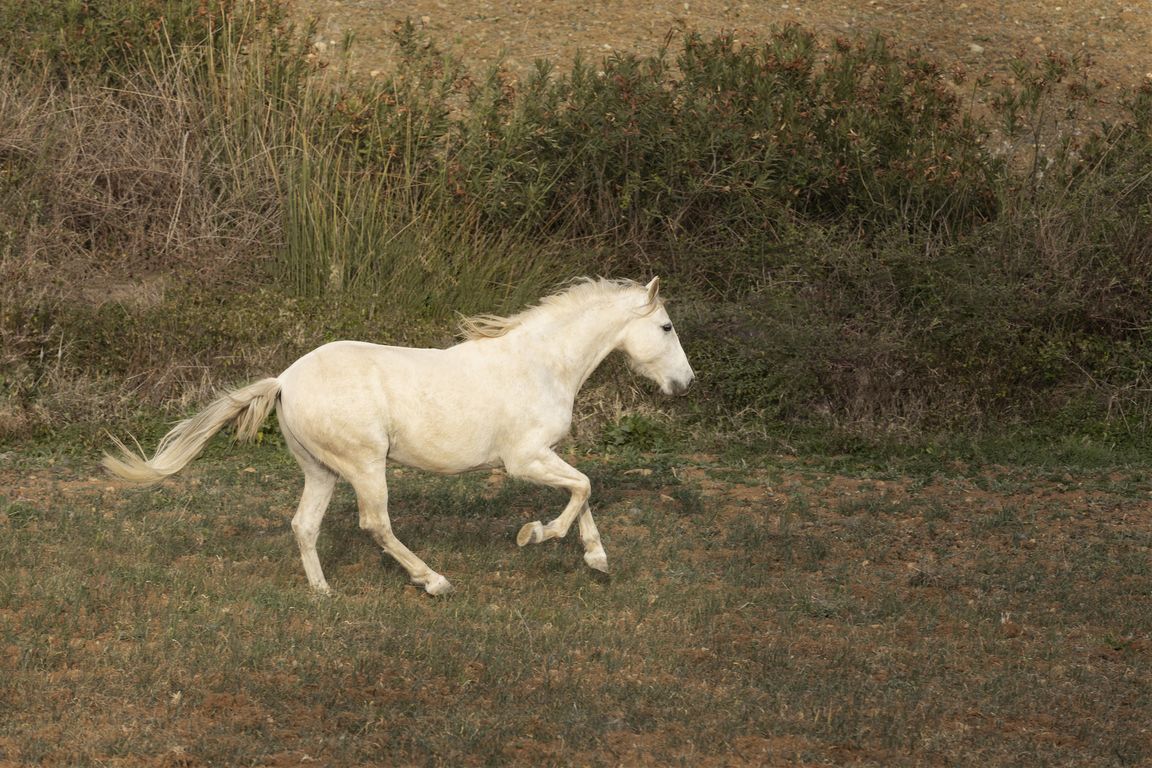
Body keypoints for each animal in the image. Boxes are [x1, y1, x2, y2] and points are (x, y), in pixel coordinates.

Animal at [102, 277, 695, 595]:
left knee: (304, 525)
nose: (685, 383)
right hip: (366, 464)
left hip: (321, 470)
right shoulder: (524, 459)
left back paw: (324, 593)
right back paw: (434, 581)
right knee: (375, 524)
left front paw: (596, 559)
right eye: (666, 327)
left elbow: (583, 490)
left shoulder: (546, 455)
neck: (541, 363)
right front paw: (535, 535)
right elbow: (583, 489)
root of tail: (285, 379)